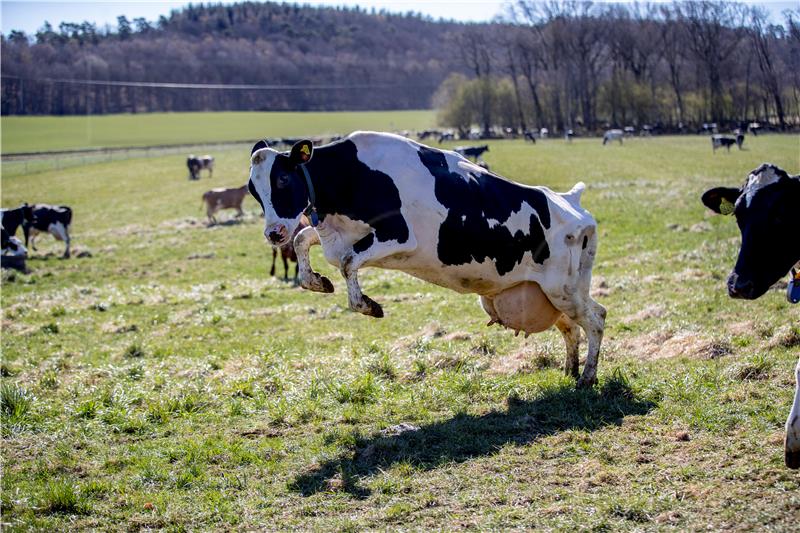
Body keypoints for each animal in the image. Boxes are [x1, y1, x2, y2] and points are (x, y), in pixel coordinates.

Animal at [250, 131, 608, 384]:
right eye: (254, 191)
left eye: (282, 179)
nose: (273, 233)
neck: (353, 176)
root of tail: (569, 200)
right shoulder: (336, 235)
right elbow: (302, 240)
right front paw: (316, 281)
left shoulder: (397, 235)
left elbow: (349, 263)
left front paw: (368, 305)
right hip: (553, 293)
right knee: (572, 328)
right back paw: (570, 370)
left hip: (564, 288)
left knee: (596, 319)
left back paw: (587, 378)